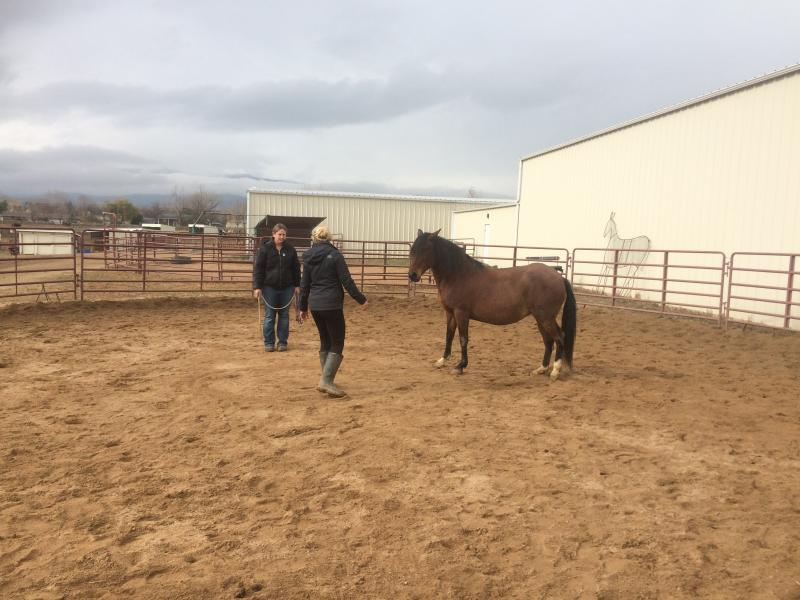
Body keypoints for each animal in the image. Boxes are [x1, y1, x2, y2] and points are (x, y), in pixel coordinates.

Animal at [408, 229, 577, 381]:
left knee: (559, 337)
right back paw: (541, 369)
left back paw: (555, 371)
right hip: (540, 318)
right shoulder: (450, 313)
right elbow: (448, 335)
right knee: (548, 341)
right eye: (413, 250)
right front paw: (442, 361)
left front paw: (460, 366)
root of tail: (559, 277)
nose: (412, 275)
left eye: (426, 249)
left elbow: (463, 339)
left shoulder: (461, 313)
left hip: (545, 317)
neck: (458, 275)